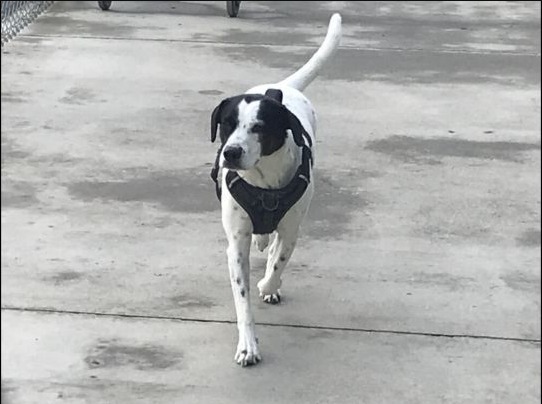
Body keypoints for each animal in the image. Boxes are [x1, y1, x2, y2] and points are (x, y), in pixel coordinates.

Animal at [209, 13, 342, 366]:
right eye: (227, 124)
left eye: (259, 127)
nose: (231, 153)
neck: (263, 179)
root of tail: (281, 88)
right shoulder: (236, 244)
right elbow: (242, 299)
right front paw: (248, 346)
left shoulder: (292, 228)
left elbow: (278, 262)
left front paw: (268, 285)